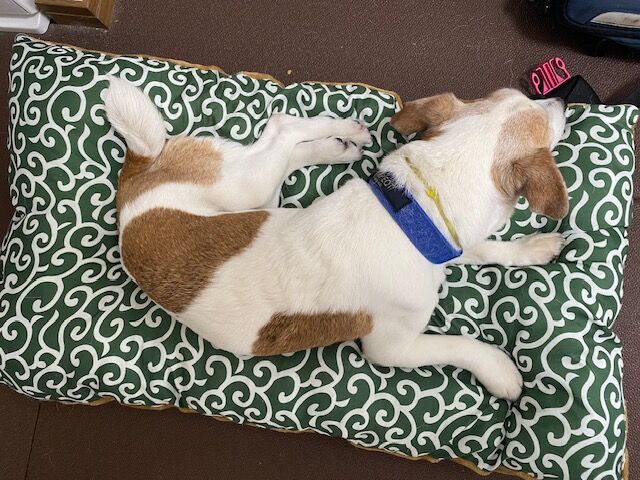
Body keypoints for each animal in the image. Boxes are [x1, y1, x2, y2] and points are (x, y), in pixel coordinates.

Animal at [105, 77, 568, 401]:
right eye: (546, 125)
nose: (562, 101)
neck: (414, 211)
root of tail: (136, 179)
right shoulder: (392, 348)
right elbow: (459, 345)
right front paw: (499, 370)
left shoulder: (447, 242)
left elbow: (486, 249)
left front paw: (531, 247)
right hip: (248, 187)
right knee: (281, 128)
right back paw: (337, 134)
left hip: (262, 199)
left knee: (283, 138)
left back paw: (339, 141)